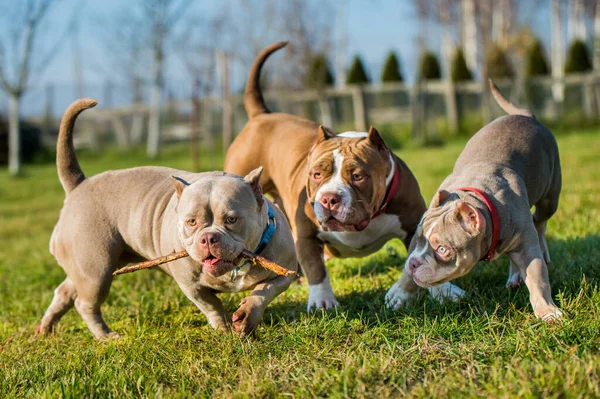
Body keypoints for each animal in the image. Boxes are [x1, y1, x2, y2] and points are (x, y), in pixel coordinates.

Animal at [225, 43, 464, 312]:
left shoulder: (415, 225)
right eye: (317, 174)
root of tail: (260, 116)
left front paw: (444, 291)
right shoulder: (307, 234)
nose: (329, 199)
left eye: (358, 176)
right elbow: (316, 268)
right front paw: (321, 301)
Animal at [384, 80, 564, 322]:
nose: (413, 263)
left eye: (442, 249)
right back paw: (515, 277)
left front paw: (547, 311)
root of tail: (526, 116)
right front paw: (401, 293)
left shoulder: (527, 247)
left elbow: (538, 279)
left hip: (550, 198)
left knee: (540, 222)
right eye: (418, 240)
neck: (476, 196)